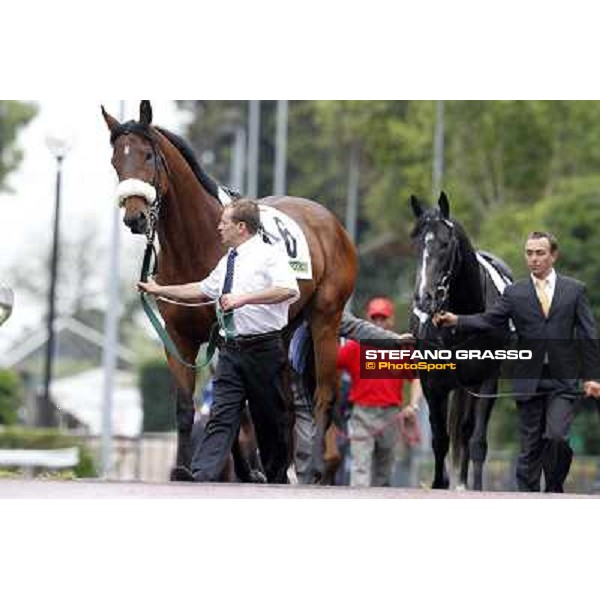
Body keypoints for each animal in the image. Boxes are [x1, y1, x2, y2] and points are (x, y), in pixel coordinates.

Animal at [103, 99, 356, 482]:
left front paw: (242, 470)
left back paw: (312, 467)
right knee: (282, 403)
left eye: (147, 155)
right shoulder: (177, 338)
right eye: (116, 160)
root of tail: (330, 222)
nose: (135, 218)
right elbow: (187, 406)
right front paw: (184, 469)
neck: (198, 244)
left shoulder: (224, 336)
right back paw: (278, 468)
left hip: (325, 317)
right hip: (282, 329)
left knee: (322, 392)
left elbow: (235, 405)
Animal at [410, 190, 512, 490]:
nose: (425, 298)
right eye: (417, 244)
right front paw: (438, 482)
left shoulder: (487, 380)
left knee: (466, 431)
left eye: (445, 244)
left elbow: (476, 440)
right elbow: (439, 438)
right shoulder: (432, 383)